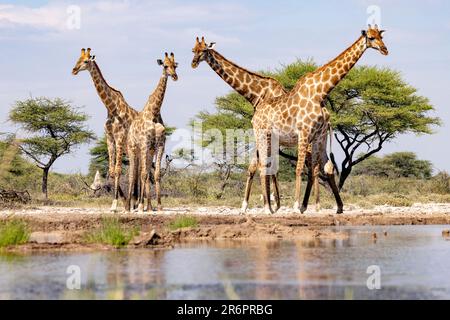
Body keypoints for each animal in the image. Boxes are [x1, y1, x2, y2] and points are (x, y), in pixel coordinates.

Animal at [71, 48, 139, 212]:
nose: (74, 70)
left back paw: (136, 202)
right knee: (134, 171)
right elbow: (112, 171)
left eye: (86, 61)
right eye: (77, 59)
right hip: (130, 149)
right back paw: (132, 202)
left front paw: (116, 204)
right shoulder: (109, 138)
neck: (112, 108)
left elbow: (118, 170)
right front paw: (121, 202)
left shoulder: (119, 137)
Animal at [125, 52, 178, 214]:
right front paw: (140, 206)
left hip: (148, 151)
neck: (153, 113)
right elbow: (142, 174)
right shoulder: (144, 144)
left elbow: (155, 174)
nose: (175, 76)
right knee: (133, 175)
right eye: (165, 66)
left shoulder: (159, 145)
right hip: (133, 149)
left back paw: (147, 205)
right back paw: (129, 206)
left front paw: (159, 205)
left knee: (146, 173)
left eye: (175, 65)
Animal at [192, 37, 342, 212]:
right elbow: (255, 167)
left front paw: (274, 204)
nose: (193, 62)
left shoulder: (268, 134)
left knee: (315, 168)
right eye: (193, 50)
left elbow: (268, 167)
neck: (256, 93)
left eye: (203, 50)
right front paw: (249, 205)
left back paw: (310, 205)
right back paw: (331, 205)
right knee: (325, 167)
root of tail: (328, 120)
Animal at [251, 25, 388, 214]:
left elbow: (315, 170)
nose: (385, 49)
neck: (320, 92)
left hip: (272, 139)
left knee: (266, 166)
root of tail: (255, 115)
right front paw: (296, 206)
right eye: (371, 37)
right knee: (262, 166)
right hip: (262, 136)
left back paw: (270, 208)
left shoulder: (318, 136)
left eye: (381, 37)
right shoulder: (303, 133)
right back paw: (266, 208)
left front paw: (309, 207)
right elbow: (299, 168)